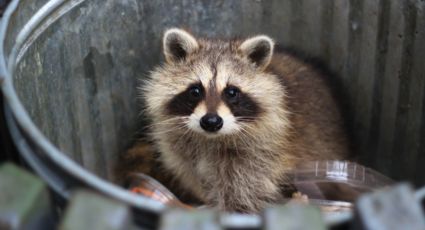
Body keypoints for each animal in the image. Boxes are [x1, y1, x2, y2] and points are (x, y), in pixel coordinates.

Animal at [137, 28, 350, 212]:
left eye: (232, 92)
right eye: (195, 91)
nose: (211, 122)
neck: (211, 139)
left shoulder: (260, 156)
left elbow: (244, 194)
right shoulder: (181, 153)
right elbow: (194, 177)